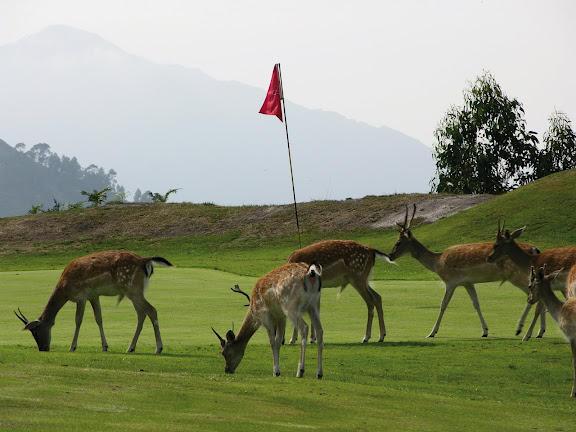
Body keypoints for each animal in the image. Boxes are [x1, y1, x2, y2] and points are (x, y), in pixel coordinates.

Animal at [13, 251, 171, 352]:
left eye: (35, 332)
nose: (43, 348)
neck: (64, 288)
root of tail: (145, 261)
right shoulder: (94, 296)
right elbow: (99, 318)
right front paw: (105, 346)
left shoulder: (81, 296)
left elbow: (78, 320)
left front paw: (72, 346)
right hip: (133, 291)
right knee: (142, 314)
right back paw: (131, 347)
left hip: (132, 288)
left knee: (151, 310)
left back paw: (158, 348)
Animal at [390, 204, 544, 340]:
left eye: (398, 242)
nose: (390, 255)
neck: (437, 262)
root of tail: (535, 250)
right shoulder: (467, 283)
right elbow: (476, 303)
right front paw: (485, 331)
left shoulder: (451, 281)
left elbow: (443, 304)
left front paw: (431, 333)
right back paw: (539, 332)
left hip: (517, 276)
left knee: (533, 296)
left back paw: (522, 329)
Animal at [528, 264, 576, 400]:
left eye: (530, 285)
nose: (529, 300)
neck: (559, 313)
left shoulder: (571, 335)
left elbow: (574, 362)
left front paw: (572, 393)